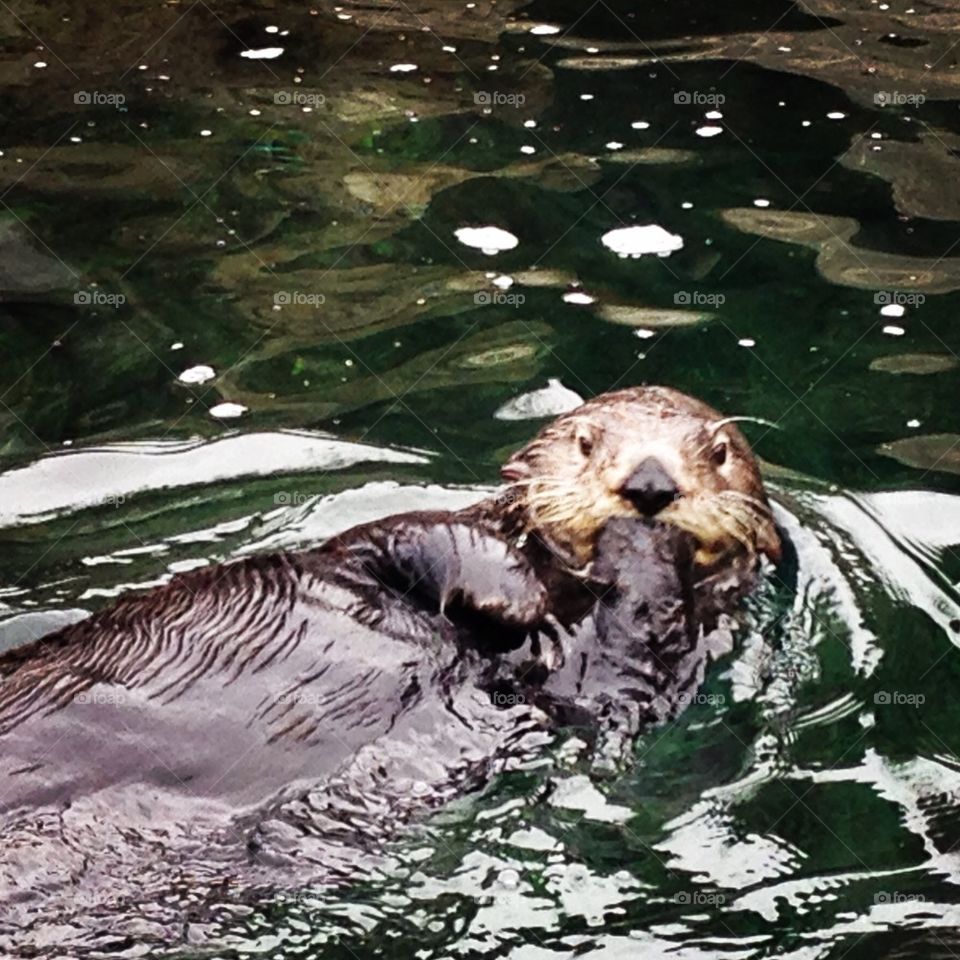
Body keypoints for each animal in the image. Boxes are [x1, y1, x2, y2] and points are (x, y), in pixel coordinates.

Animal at [0, 386, 780, 954]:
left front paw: (647, 550)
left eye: (716, 452)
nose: (649, 485)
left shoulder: (603, 684)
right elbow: (424, 538)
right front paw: (516, 588)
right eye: (587, 443)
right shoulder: (372, 548)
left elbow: (631, 658)